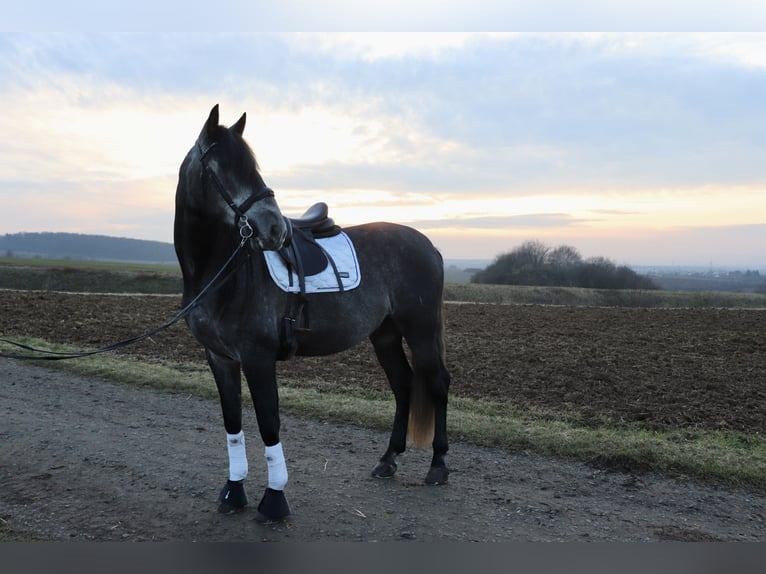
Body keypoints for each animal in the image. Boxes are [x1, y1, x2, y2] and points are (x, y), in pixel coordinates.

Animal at [174, 104, 450, 520]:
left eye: (253, 167)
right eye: (223, 168)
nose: (274, 229)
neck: (221, 272)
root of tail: (428, 245)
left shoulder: (257, 358)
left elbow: (269, 423)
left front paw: (274, 500)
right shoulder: (220, 358)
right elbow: (232, 422)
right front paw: (233, 492)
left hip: (421, 330)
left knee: (437, 384)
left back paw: (439, 466)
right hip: (385, 334)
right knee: (403, 385)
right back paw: (388, 460)